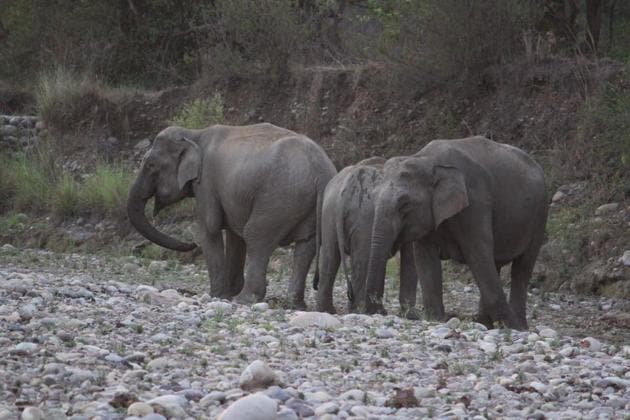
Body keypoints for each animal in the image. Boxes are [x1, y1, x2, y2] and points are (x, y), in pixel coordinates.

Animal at [125, 123, 338, 306]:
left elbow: (210, 228)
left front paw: (218, 295)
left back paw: (245, 299)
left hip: (279, 199)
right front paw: (228, 292)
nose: (191, 244)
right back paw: (294, 304)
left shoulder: (206, 183)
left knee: (257, 237)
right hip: (307, 205)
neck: (194, 134)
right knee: (306, 245)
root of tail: (320, 171)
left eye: (150, 165)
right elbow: (235, 235)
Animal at [316, 157, 424, 318]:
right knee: (362, 260)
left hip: (329, 213)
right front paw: (411, 316)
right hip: (364, 216)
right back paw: (361, 311)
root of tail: (345, 188)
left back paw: (328, 310)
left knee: (330, 258)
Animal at [366, 136, 548, 330]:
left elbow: (477, 253)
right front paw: (435, 319)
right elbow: (425, 259)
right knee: (496, 264)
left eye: (405, 205)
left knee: (522, 267)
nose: (380, 310)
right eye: (373, 196)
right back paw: (485, 323)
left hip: (540, 214)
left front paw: (511, 326)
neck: (427, 160)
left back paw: (518, 326)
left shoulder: (475, 202)